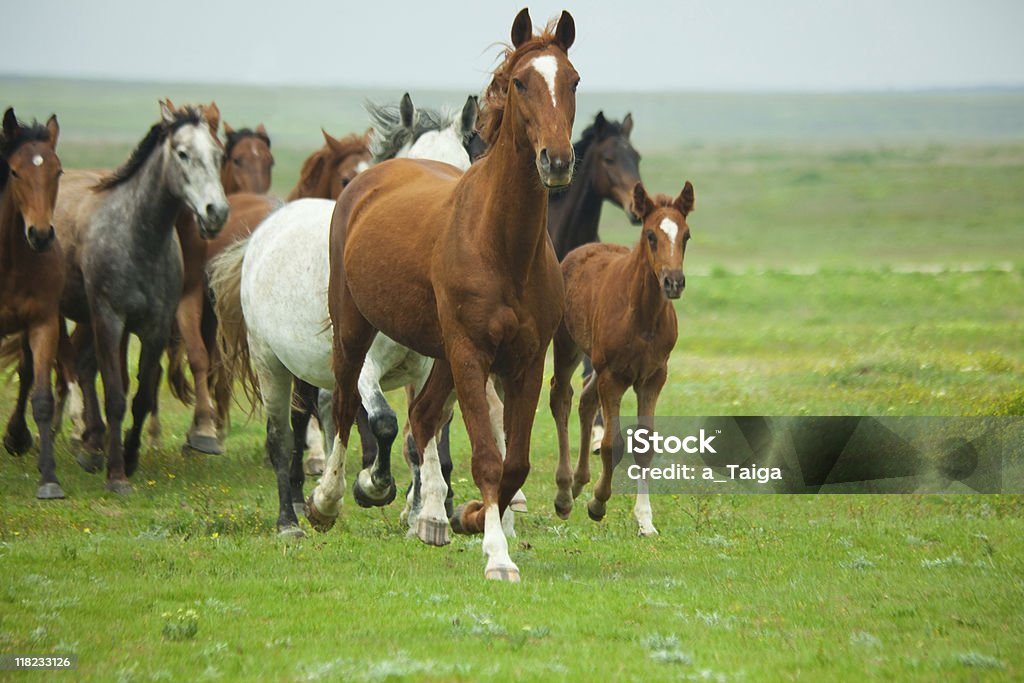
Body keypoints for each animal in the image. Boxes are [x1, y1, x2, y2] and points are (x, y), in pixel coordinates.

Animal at [55, 101, 227, 491]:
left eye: (218, 154)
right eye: (182, 153)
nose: (216, 212)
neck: (138, 237)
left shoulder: (156, 327)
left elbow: (143, 395)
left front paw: (130, 456)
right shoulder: (110, 320)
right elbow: (117, 396)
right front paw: (117, 476)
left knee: (81, 365)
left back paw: (91, 446)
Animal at [548, 181, 692, 540]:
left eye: (686, 235)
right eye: (651, 235)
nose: (673, 281)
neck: (642, 316)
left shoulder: (653, 377)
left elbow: (645, 446)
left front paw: (645, 520)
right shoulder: (613, 377)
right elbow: (613, 444)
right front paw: (598, 502)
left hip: (599, 363)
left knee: (586, 399)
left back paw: (578, 482)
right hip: (568, 344)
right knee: (561, 396)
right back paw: (564, 493)